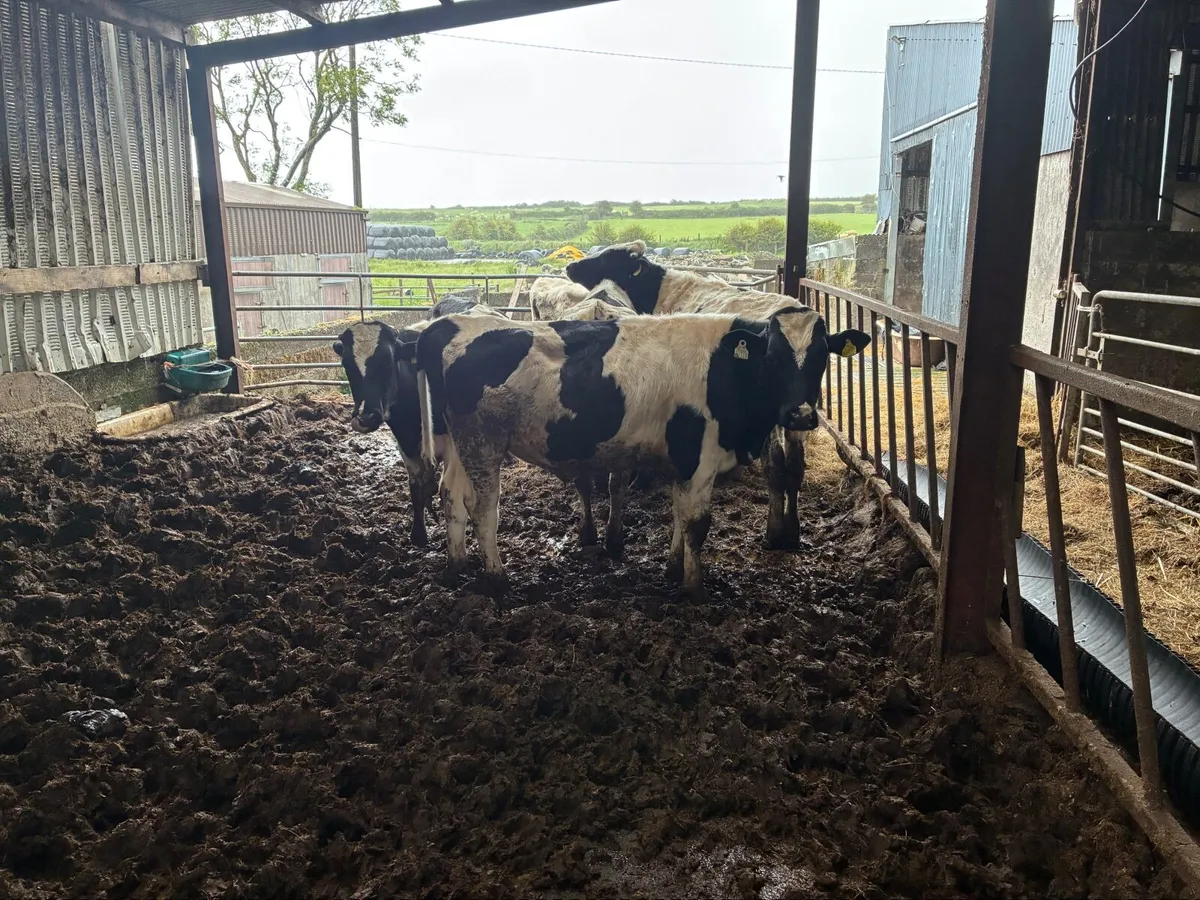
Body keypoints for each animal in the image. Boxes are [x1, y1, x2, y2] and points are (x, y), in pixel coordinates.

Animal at [408, 307, 870, 597]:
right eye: (772, 358)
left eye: (821, 357)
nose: (800, 415)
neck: (724, 372)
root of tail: (447, 324)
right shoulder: (698, 456)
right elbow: (697, 524)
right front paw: (694, 589)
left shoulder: (684, 462)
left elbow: (680, 516)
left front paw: (673, 569)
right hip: (483, 440)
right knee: (483, 507)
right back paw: (497, 577)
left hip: (458, 442)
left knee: (451, 495)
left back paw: (457, 565)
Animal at [565, 240, 838, 550]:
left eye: (607, 259)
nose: (570, 266)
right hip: (798, 415)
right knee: (793, 466)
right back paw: (791, 532)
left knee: (776, 467)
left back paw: (775, 531)